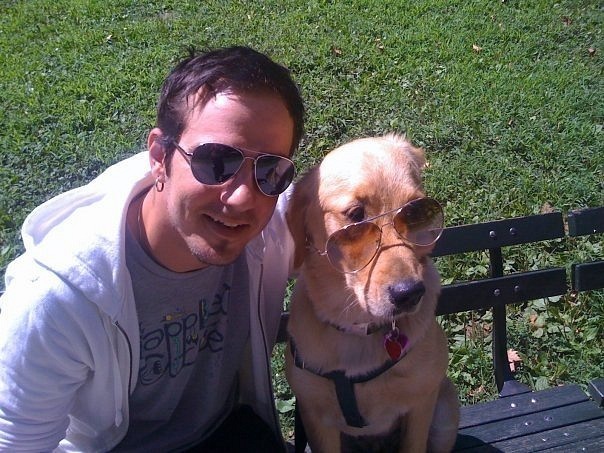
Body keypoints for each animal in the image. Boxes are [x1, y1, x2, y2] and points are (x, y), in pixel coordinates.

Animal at [285, 134, 459, 452]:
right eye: (356, 216)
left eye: (416, 210)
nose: (410, 293)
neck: (359, 330)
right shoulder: (316, 418)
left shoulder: (422, 404)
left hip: (445, 415)